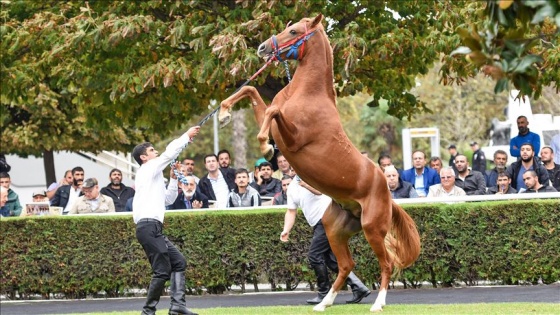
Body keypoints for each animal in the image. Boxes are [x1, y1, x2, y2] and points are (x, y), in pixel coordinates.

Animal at [219, 13, 420, 312]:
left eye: (293, 31)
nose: (263, 48)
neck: (306, 94)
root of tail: (386, 190)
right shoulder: (278, 129)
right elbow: (252, 90)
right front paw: (222, 113)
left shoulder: (293, 139)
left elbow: (272, 110)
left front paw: (264, 145)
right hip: (335, 231)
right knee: (346, 265)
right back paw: (324, 303)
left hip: (373, 229)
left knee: (386, 264)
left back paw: (377, 304)